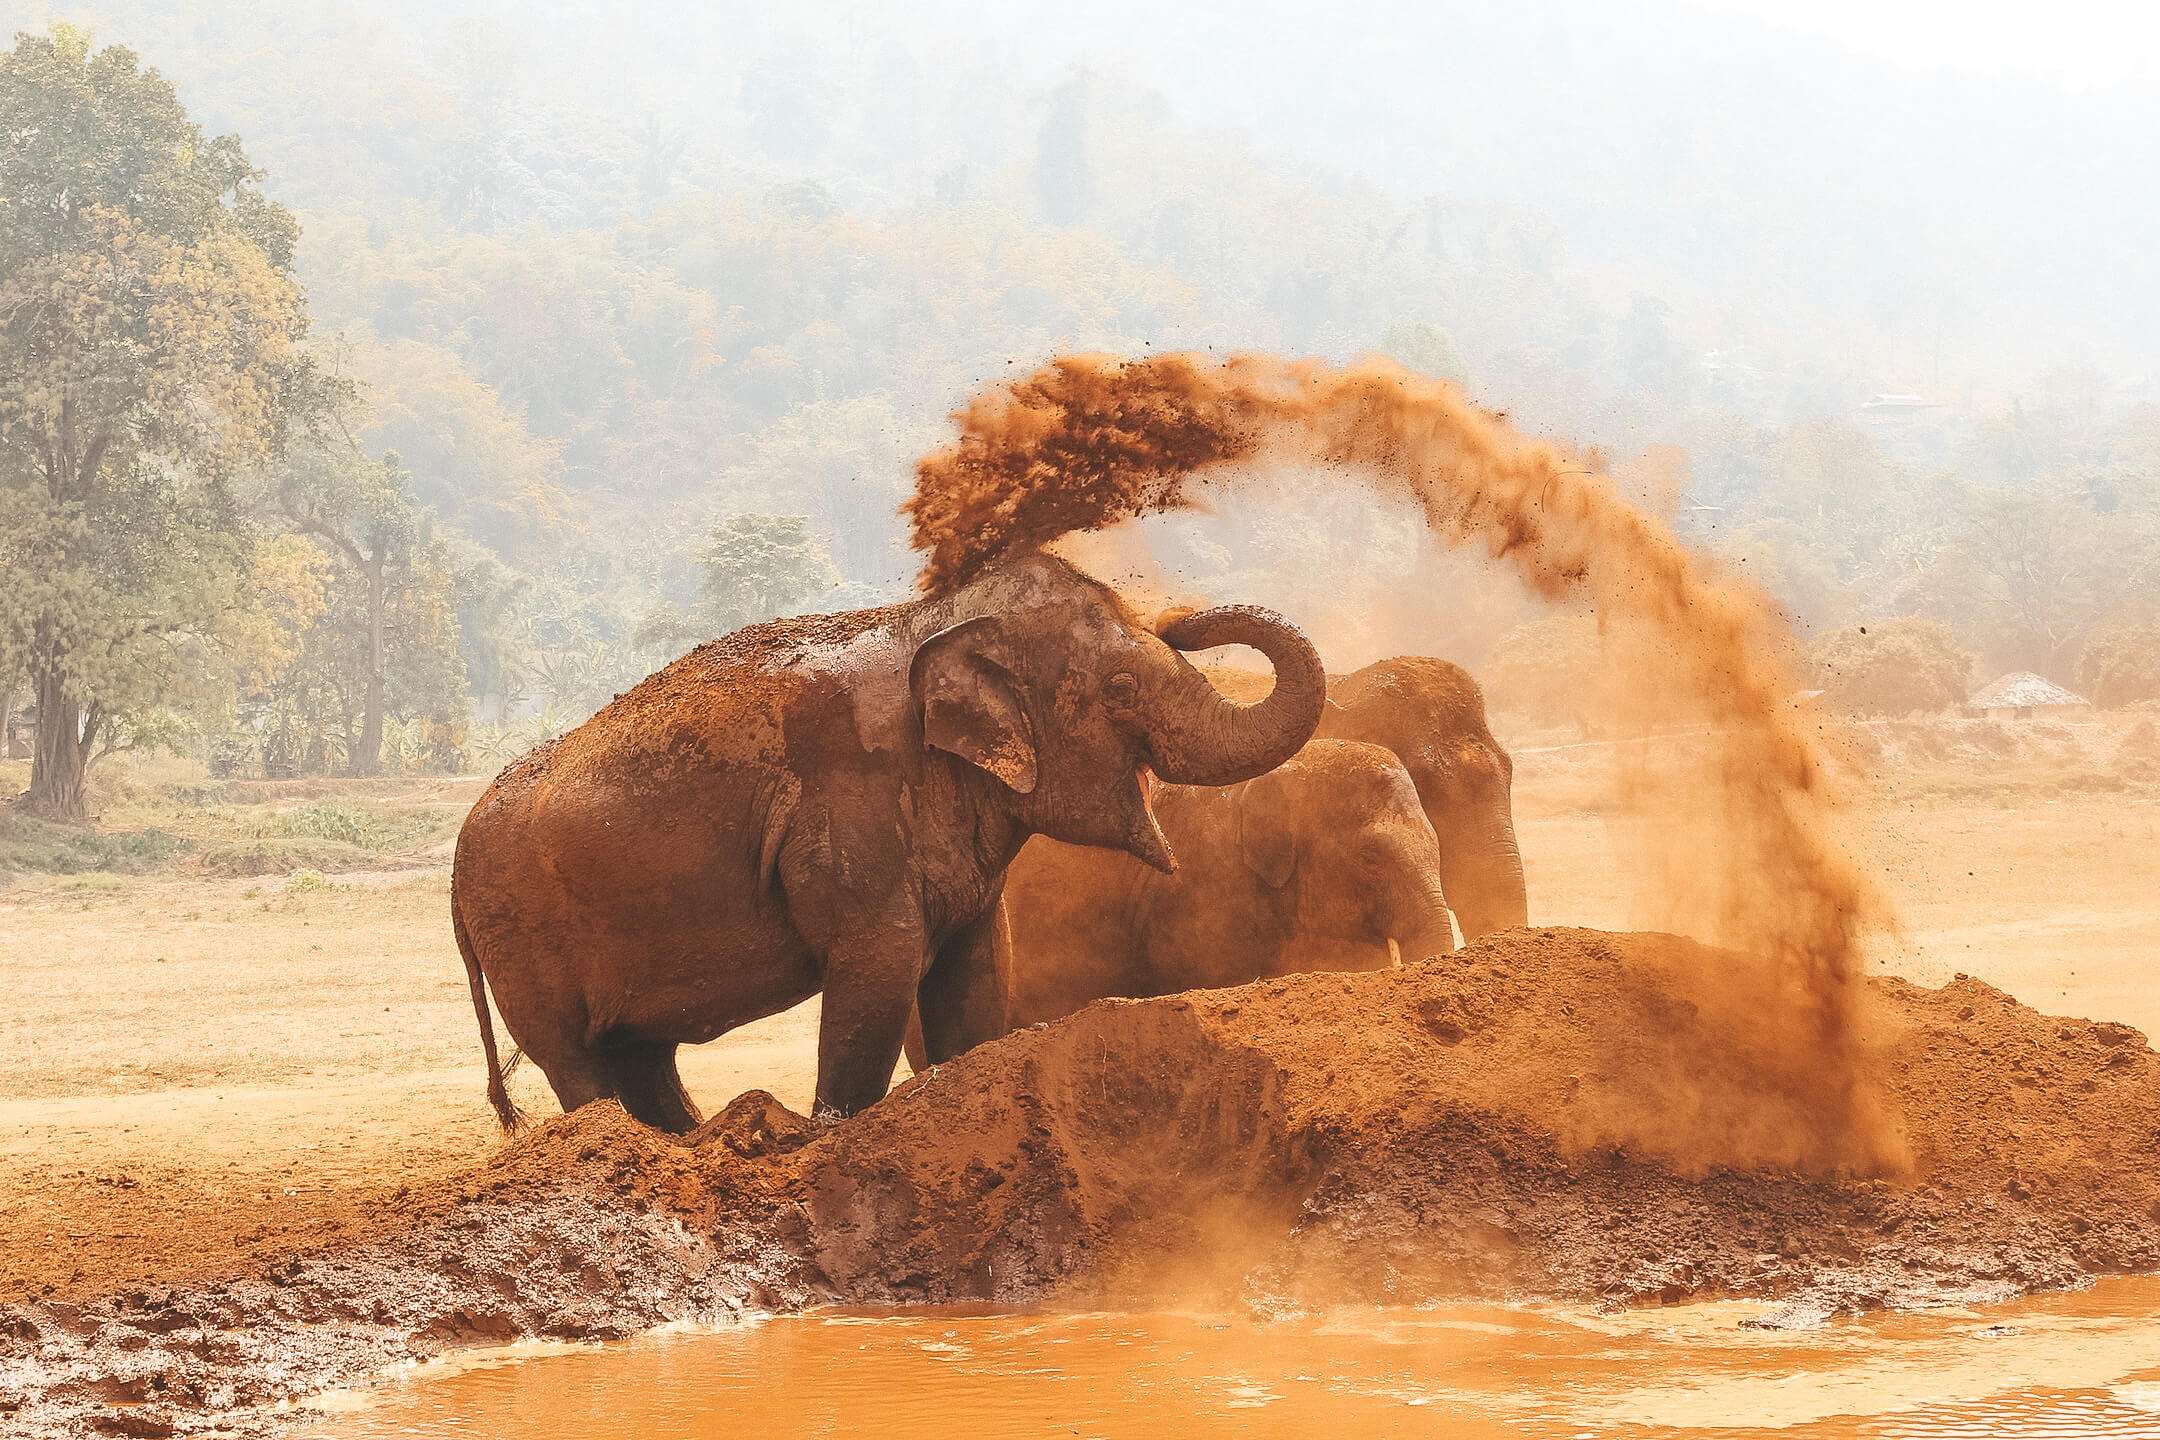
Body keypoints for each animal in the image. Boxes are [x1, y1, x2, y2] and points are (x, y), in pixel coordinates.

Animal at [451, 553, 1326, 1130]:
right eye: (1120, 688)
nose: (1182, 615)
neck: (932, 621)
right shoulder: (851, 808)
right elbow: (880, 968)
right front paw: (831, 1135)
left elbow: (973, 981)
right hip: (520, 937)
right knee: (579, 1060)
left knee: (640, 1056)